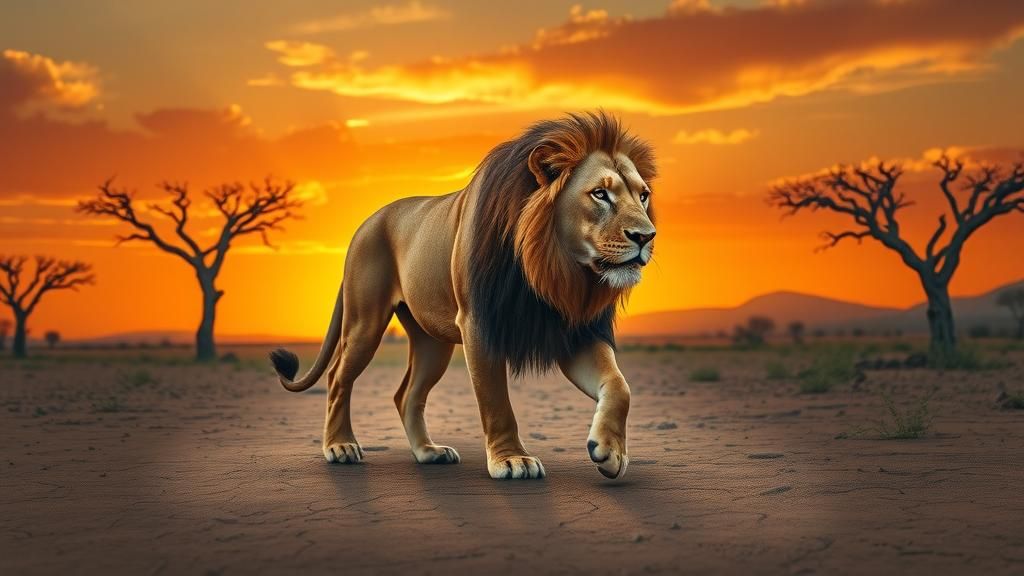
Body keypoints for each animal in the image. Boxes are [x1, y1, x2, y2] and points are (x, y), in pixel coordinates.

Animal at [271, 111, 657, 480]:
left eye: (643, 195)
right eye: (600, 194)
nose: (646, 236)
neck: (553, 269)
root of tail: (366, 223)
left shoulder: (575, 331)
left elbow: (619, 385)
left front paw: (611, 451)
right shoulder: (478, 324)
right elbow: (496, 400)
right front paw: (512, 460)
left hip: (432, 342)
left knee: (406, 394)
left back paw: (428, 452)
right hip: (364, 322)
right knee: (338, 377)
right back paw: (340, 446)